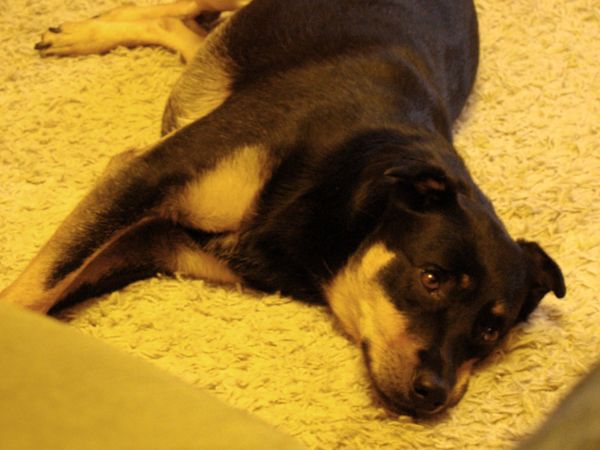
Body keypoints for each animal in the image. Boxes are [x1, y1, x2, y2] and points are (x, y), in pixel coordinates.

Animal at [0, 0, 564, 418]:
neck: (342, 197)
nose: (436, 394)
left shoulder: (158, 243)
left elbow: (49, 290)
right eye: (431, 278)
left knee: (189, 33)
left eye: (490, 331)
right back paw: (83, 30)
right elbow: (38, 285)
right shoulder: (142, 178)